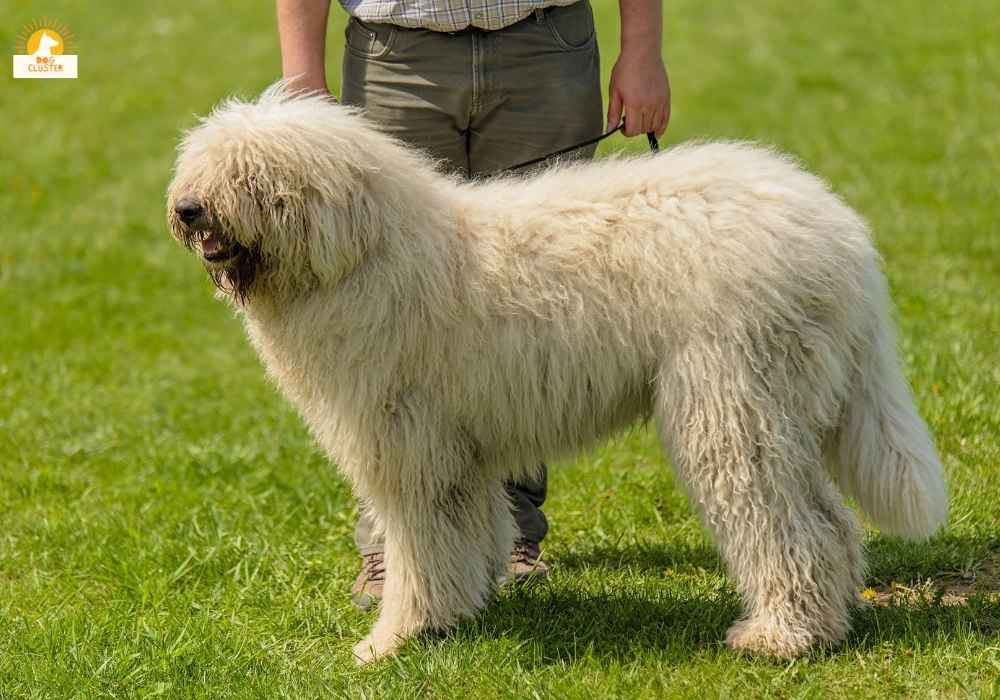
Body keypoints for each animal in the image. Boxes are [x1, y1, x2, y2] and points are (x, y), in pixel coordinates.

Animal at [164, 85, 944, 664]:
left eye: (255, 176)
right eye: (204, 162)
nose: (188, 208)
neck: (364, 252)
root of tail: (841, 238)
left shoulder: (407, 444)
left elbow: (418, 546)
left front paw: (392, 639)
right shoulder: (455, 449)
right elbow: (459, 536)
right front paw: (456, 615)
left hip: (732, 403)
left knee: (788, 526)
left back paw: (780, 637)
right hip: (786, 405)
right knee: (830, 523)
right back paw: (826, 623)